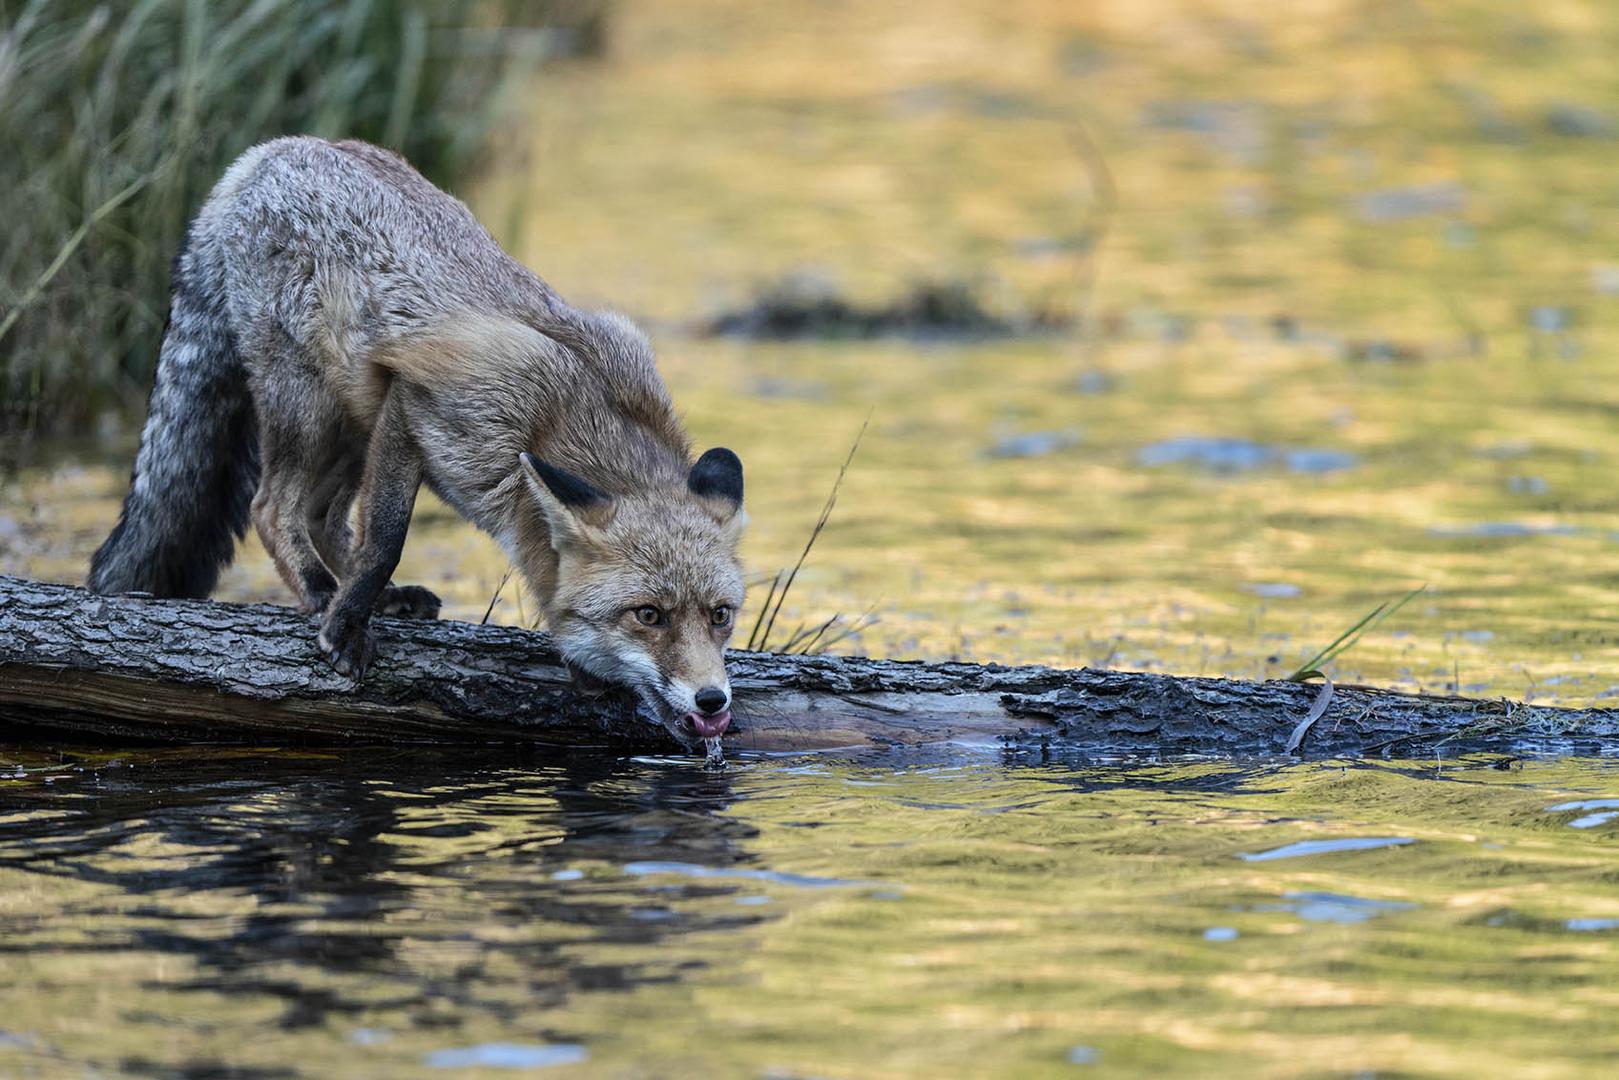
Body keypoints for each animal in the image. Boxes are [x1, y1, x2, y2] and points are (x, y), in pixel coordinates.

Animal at [85, 132, 741, 744]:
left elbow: (374, 539)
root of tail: (271, 150)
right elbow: (385, 541)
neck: (565, 414)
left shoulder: (399, 421)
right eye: (648, 615)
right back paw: (322, 592)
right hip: (310, 407)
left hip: (354, 421)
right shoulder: (415, 404)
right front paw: (345, 627)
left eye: (721, 616)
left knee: (322, 515)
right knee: (272, 508)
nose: (714, 701)